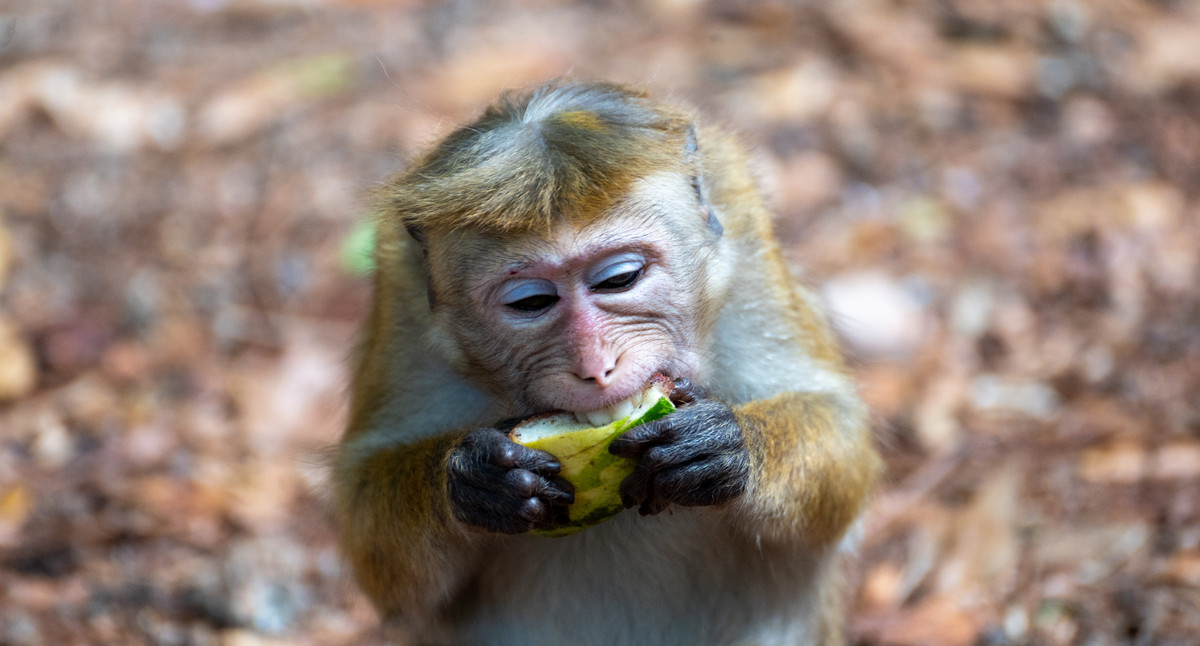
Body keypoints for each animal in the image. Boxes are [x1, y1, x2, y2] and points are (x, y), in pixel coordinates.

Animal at [334, 80, 881, 646]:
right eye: (530, 302)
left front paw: (723, 446)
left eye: (620, 278)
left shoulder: (745, 238)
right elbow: (369, 525)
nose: (596, 366)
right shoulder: (401, 298)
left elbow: (839, 428)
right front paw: (475, 479)